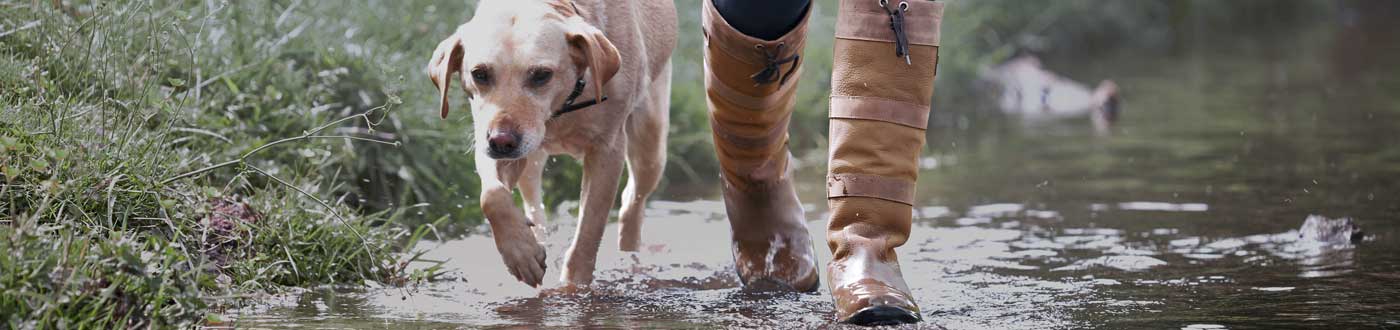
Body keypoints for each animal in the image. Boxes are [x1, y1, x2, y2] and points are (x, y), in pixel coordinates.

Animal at [425, 0, 677, 288]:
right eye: (479, 74)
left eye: (541, 75)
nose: (501, 142)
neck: (564, 106)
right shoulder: (491, 143)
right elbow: (492, 197)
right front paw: (521, 253)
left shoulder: (607, 150)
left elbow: (589, 229)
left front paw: (573, 287)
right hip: (529, 162)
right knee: (534, 203)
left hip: (650, 144)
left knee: (631, 202)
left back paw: (630, 257)